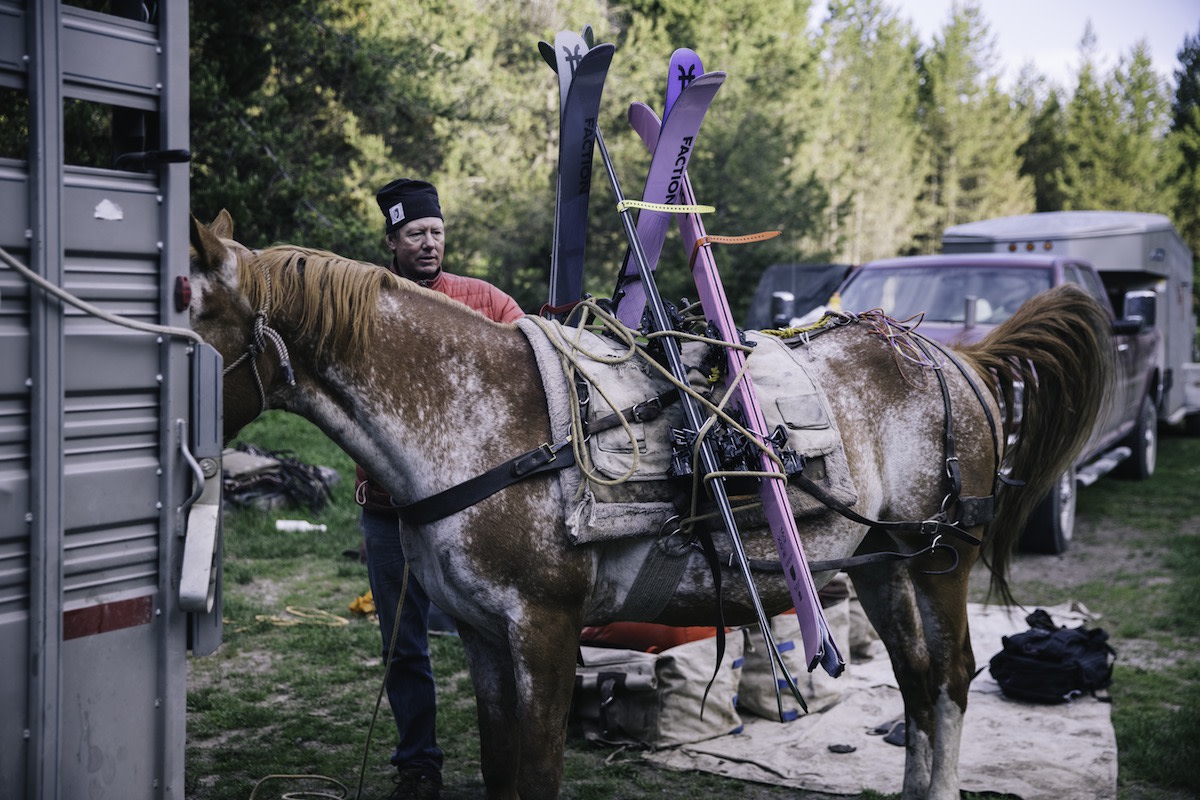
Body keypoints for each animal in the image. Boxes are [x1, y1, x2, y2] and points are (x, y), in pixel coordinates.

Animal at [188, 209, 1113, 800]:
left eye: (186, 316)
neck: (478, 419)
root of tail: (955, 357)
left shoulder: (545, 632)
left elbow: (536, 777)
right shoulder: (485, 638)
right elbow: (498, 771)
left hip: (940, 559)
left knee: (950, 680)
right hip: (882, 565)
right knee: (919, 682)